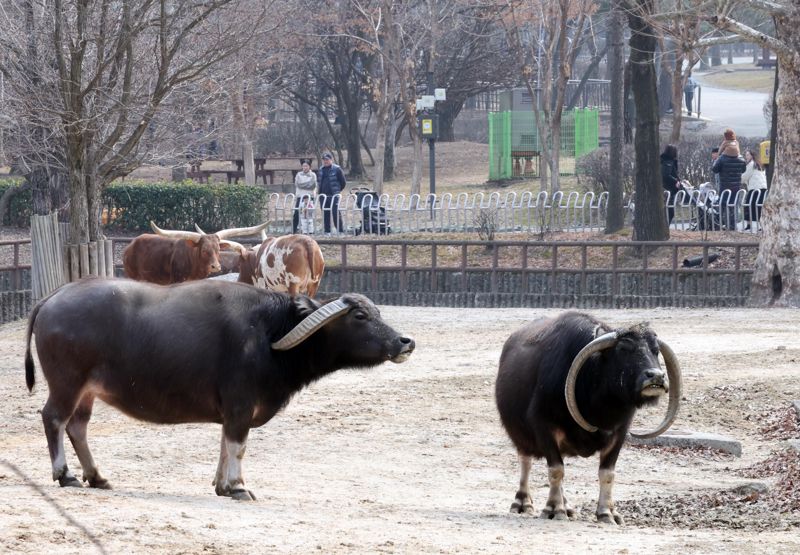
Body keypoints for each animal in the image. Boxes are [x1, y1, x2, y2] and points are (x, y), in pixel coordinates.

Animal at [25, 280, 416, 502]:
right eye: (360, 317)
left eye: (377, 312)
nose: (404, 341)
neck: (270, 332)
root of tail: (52, 298)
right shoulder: (241, 403)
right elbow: (238, 446)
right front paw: (238, 486)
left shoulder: (232, 410)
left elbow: (225, 444)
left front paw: (221, 484)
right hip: (68, 383)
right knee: (54, 419)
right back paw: (66, 475)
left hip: (88, 391)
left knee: (78, 427)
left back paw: (97, 476)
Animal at [496, 312, 680, 524]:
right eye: (624, 349)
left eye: (656, 350)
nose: (656, 376)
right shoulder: (544, 427)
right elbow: (556, 470)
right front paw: (554, 509)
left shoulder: (619, 433)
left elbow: (607, 474)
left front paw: (607, 513)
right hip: (519, 434)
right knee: (526, 461)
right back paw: (523, 503)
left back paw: (568, 506)